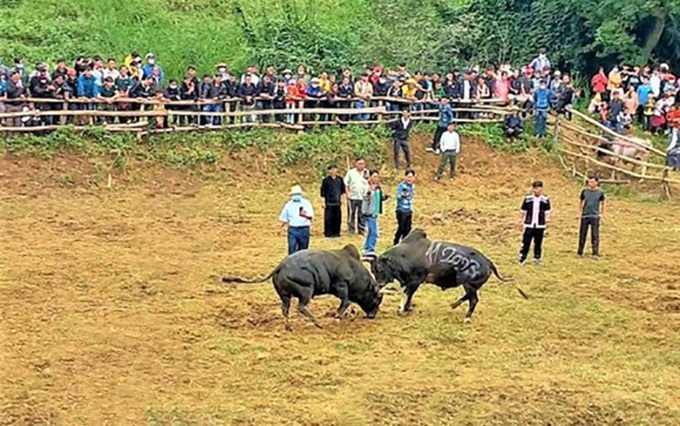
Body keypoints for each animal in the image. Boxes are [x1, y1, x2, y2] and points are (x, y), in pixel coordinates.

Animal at [222, 243, 382, 330]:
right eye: (376, 299)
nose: (372, 316)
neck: (352, 267)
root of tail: (281, 266)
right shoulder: (341, 286)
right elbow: (346, 301)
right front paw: (338, 315)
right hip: (307, 290)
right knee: (301, 307)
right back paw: (318, 323)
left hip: (285, 296)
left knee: (285, 309)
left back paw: (288, 327)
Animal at [364, 230, 528, 322]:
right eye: (373, 269)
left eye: (379, 268)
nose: (378, 285)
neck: (405, 255)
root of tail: (488, 262)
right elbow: (409, 296)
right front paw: (407, 309)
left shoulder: (415, 281)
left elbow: (407, 294)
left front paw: (402, 309)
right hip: (470, 286)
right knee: (468, 297)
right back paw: (454, 305)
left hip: (469, 285)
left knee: (473, 300)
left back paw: (467, 318)